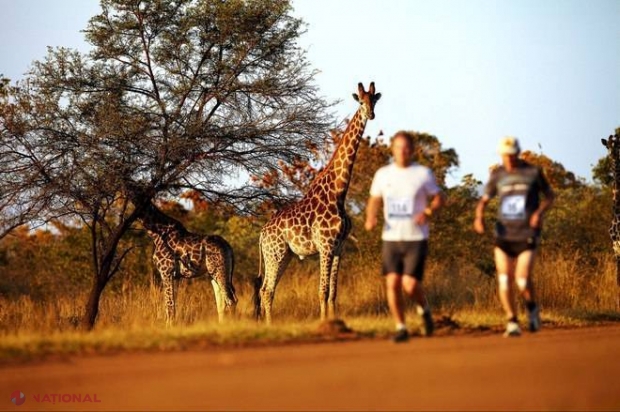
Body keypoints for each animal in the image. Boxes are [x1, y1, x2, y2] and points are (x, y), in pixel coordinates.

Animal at [254, 82, 380, 324]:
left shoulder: (340, 246)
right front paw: (324, 323)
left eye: (374, 101)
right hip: (275, 254)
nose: (371, 114)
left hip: (283, 255)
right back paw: (269, 325)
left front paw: (333, 320)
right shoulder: (325, 245)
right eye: (361, 101)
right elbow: (322, 290)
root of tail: (262, 234)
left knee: (265, 289)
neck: (338, 193)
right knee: (267, 290)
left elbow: (333, 292)